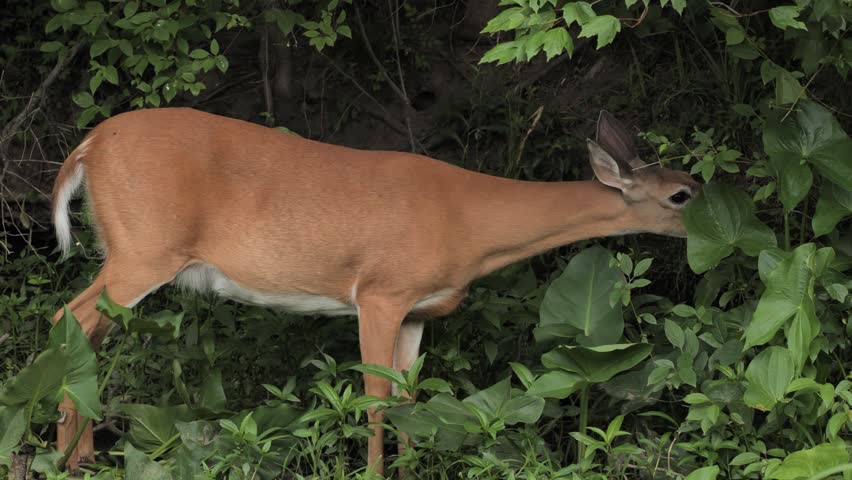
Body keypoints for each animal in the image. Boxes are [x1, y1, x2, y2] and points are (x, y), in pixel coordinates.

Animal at [50, 107, 700, 474]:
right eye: (683, 194)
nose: (718, 220)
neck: (468, 225)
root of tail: (87, 146)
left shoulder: (417, 310)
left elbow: (412, 400)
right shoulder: (381, 292)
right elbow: (376, 399)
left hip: (127, 252)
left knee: (89, 332)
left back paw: (80, 457)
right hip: (144, 249)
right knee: (68, 316)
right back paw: (66, 458)